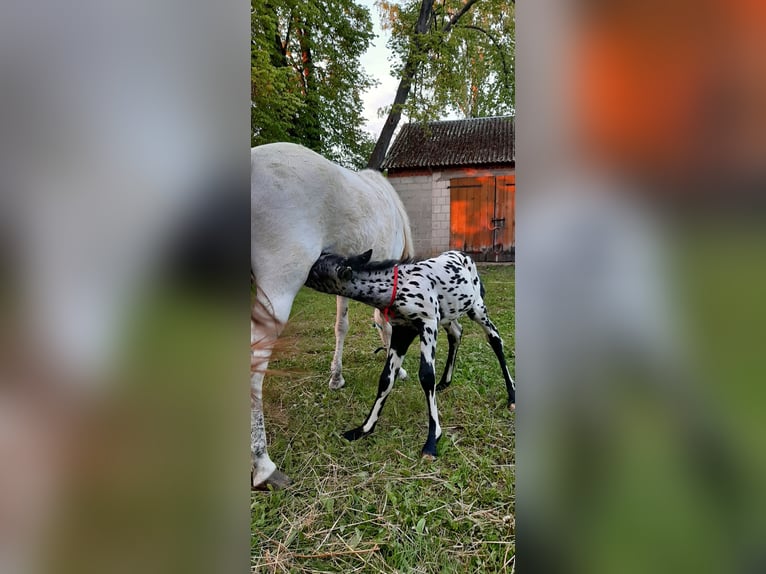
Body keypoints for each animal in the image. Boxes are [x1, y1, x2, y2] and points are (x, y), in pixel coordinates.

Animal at [252, 144, 414, 490]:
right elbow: (384, 321)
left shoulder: (345, 277)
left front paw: (336, 377)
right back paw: (263, 465)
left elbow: (342, 326)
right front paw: (397, 369)